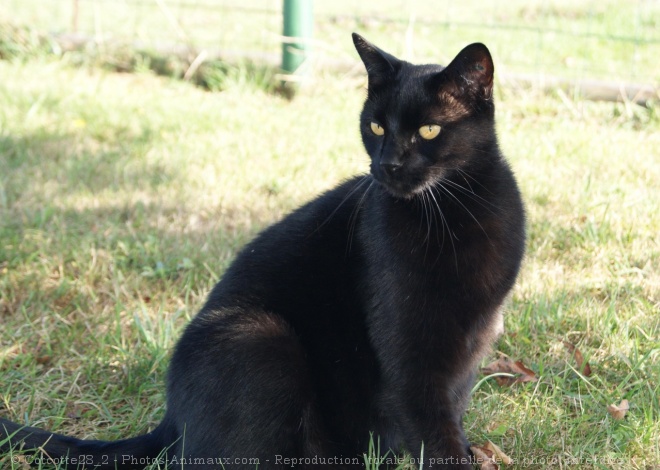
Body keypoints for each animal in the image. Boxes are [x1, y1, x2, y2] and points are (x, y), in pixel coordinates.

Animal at [0, 34, 524, 470]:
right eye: (376, 126)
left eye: (430, 131)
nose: (388, 164)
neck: (456, 213)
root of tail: (172, 421)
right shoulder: (407, 347)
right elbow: (430, 422)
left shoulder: (471, 340)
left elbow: (450, 410)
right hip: (260, 338)